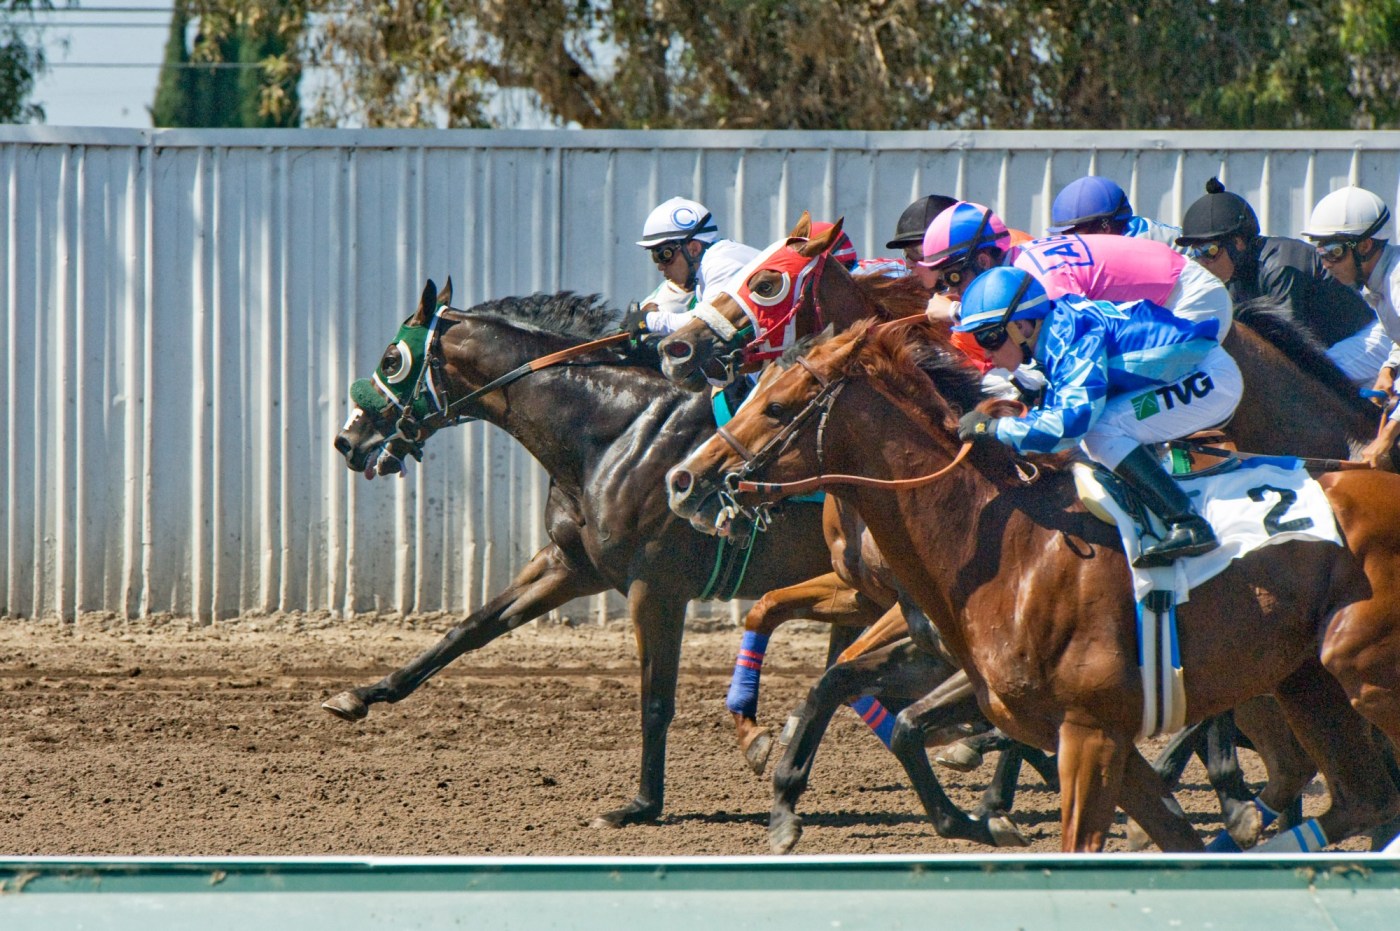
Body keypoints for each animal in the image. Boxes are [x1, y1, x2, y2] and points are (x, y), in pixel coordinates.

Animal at [329, 279, 838, 828]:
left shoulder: (656, 589)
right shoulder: (571, 565)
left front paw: (641, 804)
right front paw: (362, 694)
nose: (346, 440)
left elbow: (655, 700)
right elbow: (472, 627)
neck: (615, 433)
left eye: (390, 359)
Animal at [666, 318, 1400, 852]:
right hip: (1302, 682)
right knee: (1363, 796)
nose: (683, 478)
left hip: (1358, 668)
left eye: (777, 405)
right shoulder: (1065, 722)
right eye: (751, 390)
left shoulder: (1090, 730)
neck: (1010, 544)